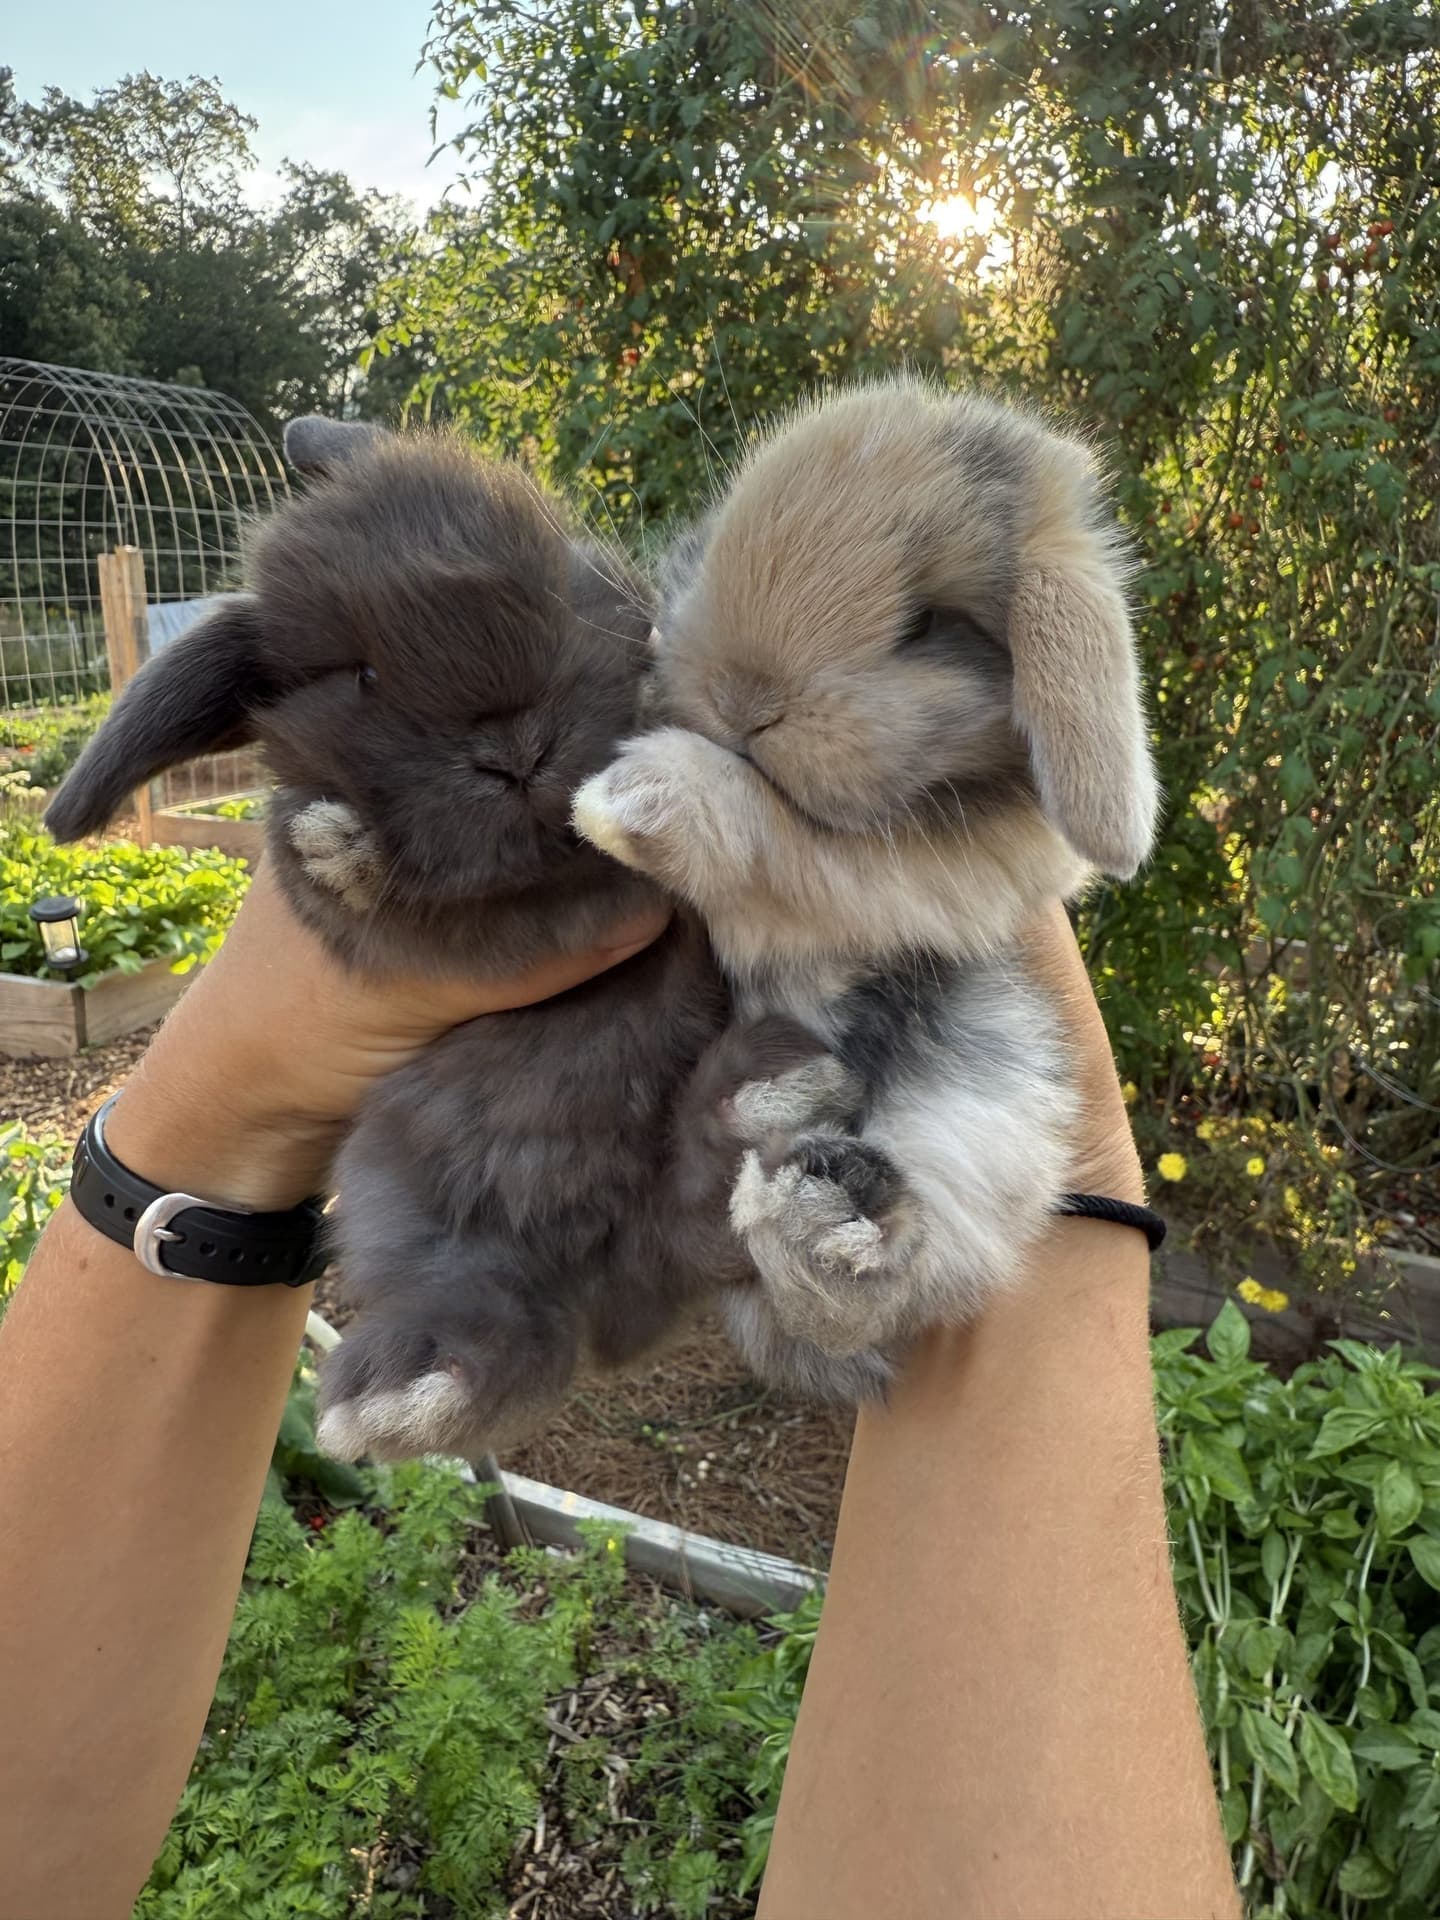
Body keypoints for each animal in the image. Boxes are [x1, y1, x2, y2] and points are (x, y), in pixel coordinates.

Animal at [573, 375, 1159, 1387]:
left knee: (898, 1279)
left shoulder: (930, 880)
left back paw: (822, 1223)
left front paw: (635, 799)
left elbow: (790, 846)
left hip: (981, 1104)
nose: (745, 697)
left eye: (924, 625)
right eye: (713, 540)